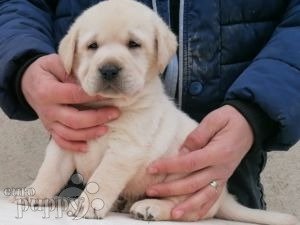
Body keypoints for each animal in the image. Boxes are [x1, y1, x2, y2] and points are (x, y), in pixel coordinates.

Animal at [15, 0, 298, 225]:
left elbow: (102, 179)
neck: (109, 105)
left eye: (134, 44)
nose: (109, 69)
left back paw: (150, 207)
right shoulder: (66, 141)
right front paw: (33, 193)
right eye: (92, 46)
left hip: (183, 177)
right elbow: (50, 171)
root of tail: (224, 196)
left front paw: (88, 204)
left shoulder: (125, 149)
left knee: (185, 210)